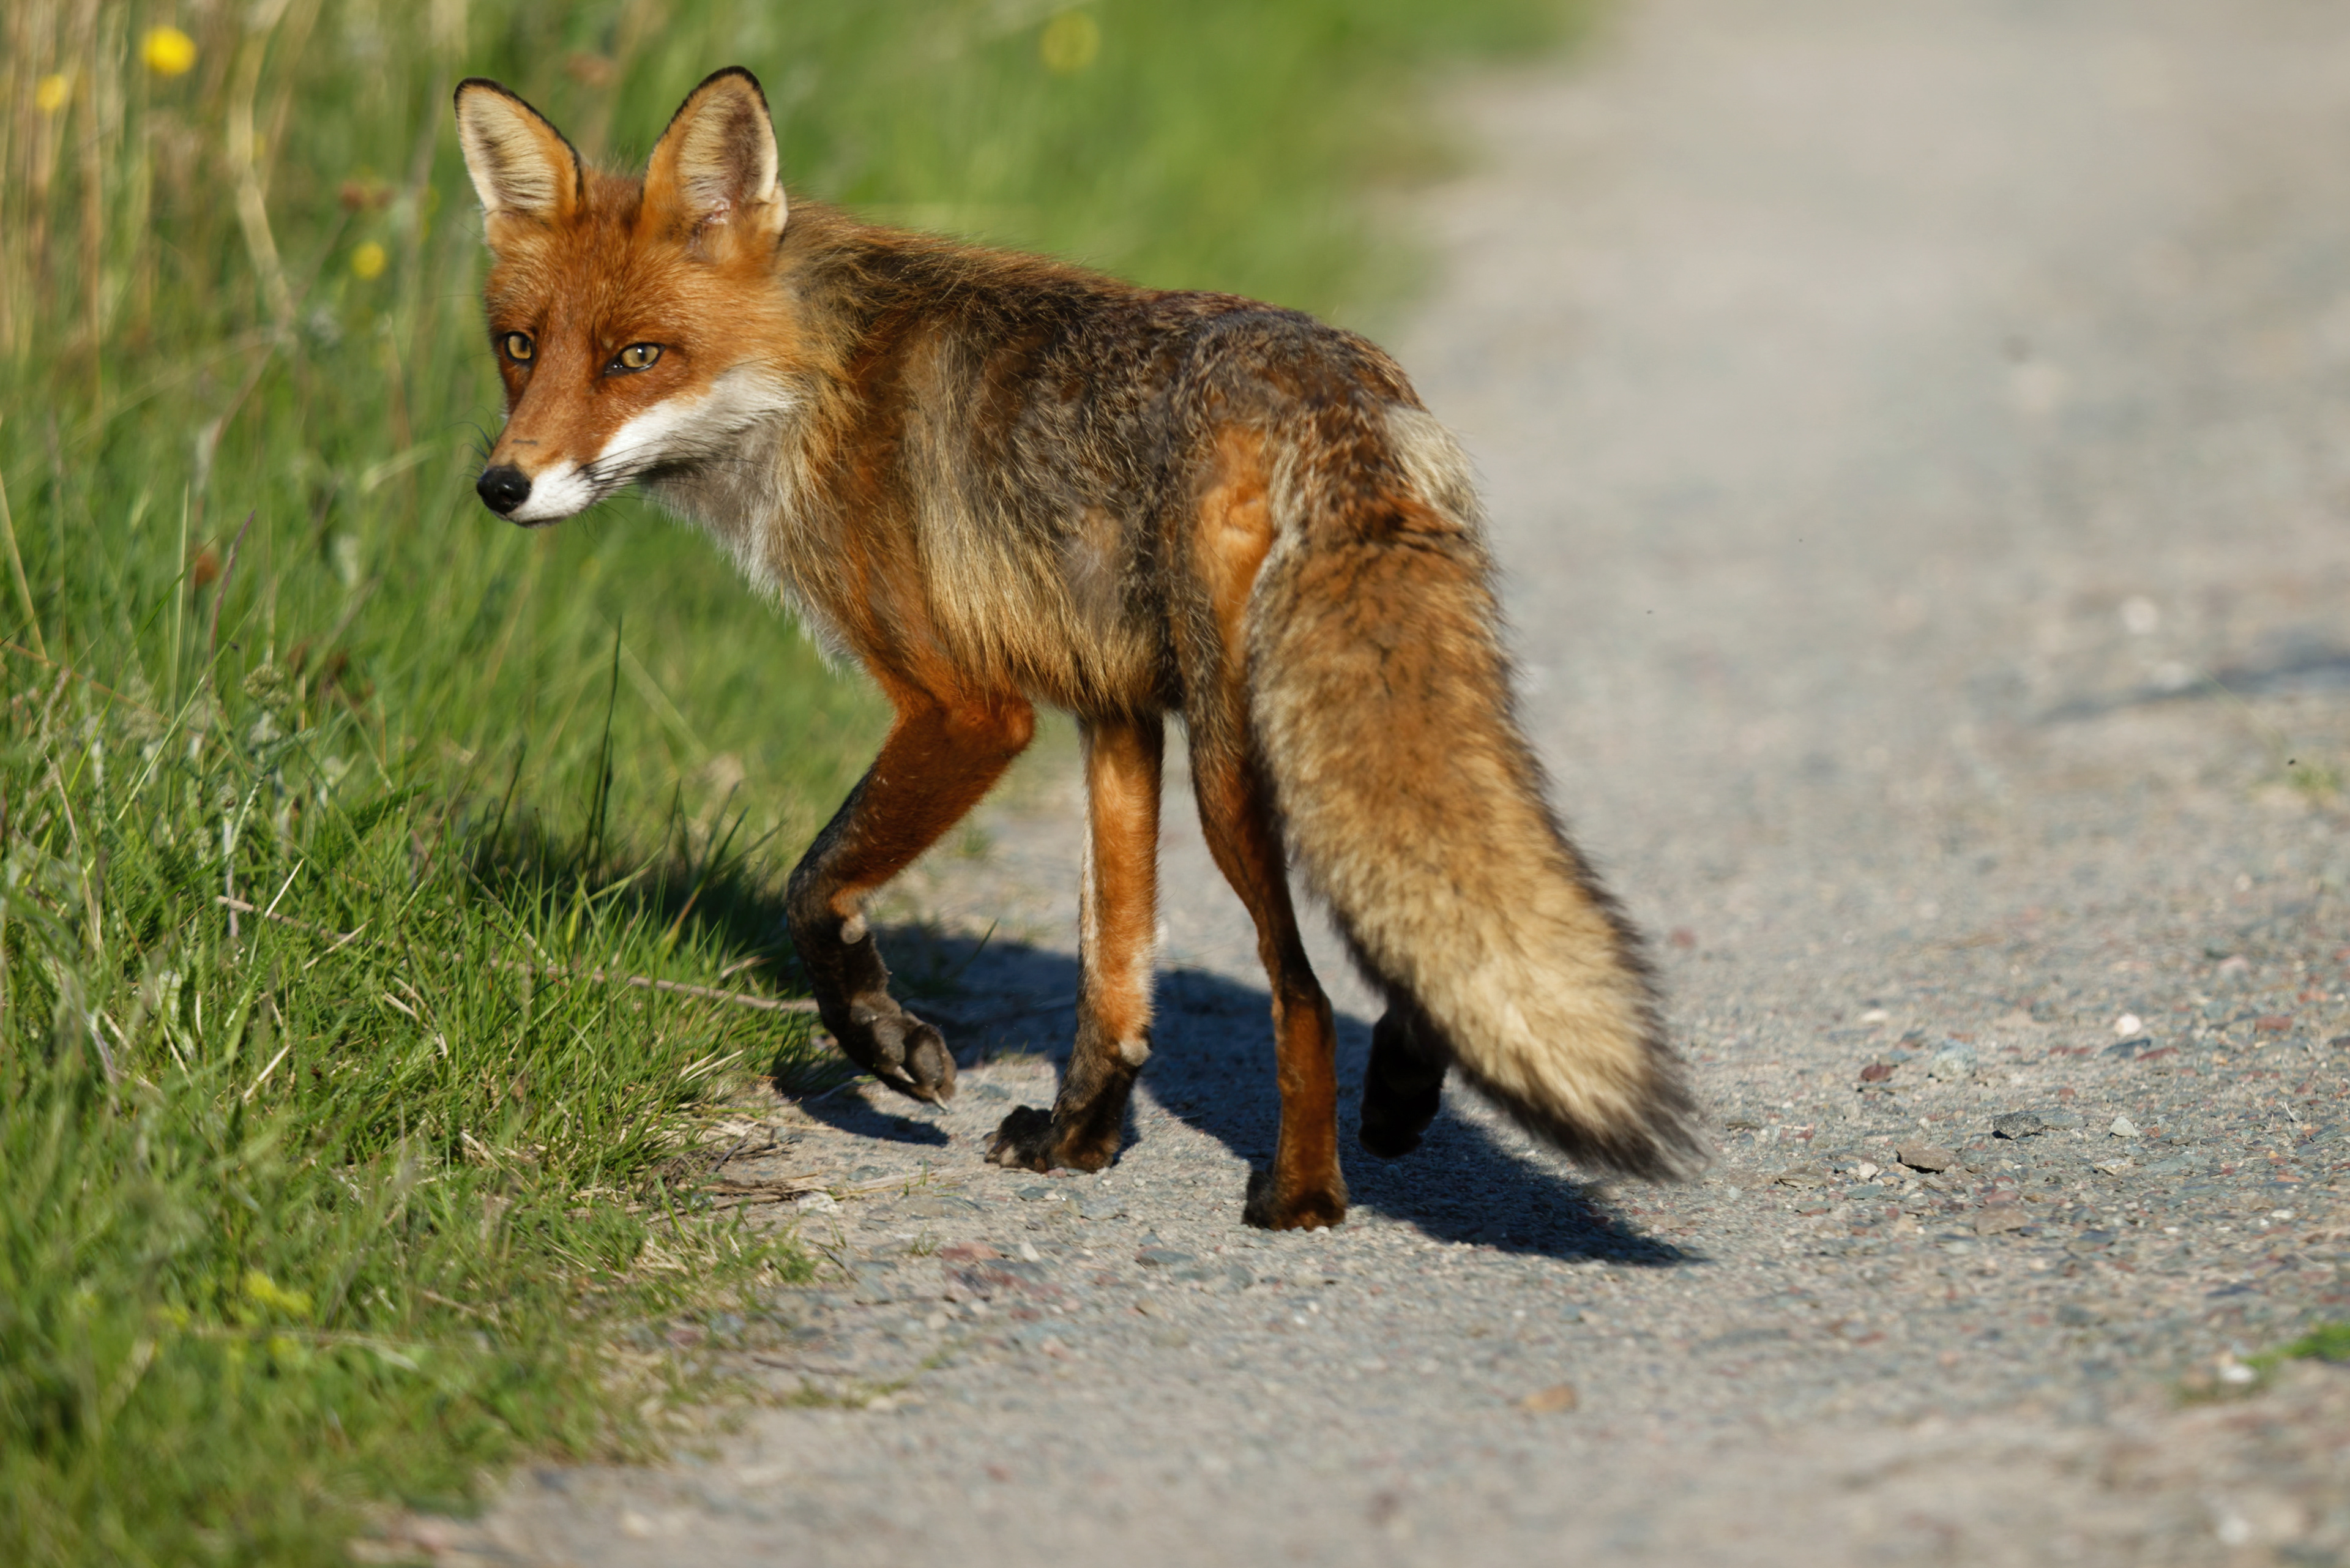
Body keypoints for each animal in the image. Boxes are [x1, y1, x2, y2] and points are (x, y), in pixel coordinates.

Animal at [454, 67, 1708, 1229]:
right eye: (519, 348)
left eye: (636, 357)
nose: (501, 486)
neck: (813, 384)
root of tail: (1331, 379)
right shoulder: (1113, 710)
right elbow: (1114, 976)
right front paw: (1081, 1140)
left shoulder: (969, 707)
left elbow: (816, 884)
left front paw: (883, 1041)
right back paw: (1398, 1090)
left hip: (1232, 766)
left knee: (1303, 991)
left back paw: (1305, 1193)